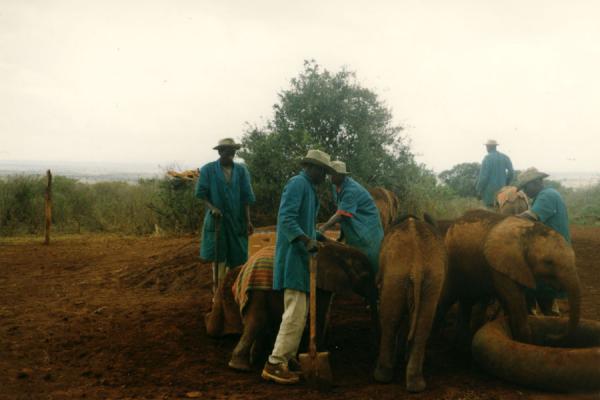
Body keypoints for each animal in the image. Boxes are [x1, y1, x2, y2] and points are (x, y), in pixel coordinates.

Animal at [376, 217, 446, 392]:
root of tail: (417, 264)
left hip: (395, 273)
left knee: (390, 321)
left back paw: (382, 377)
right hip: (433, 277)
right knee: (423, 326)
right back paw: (416, 385)